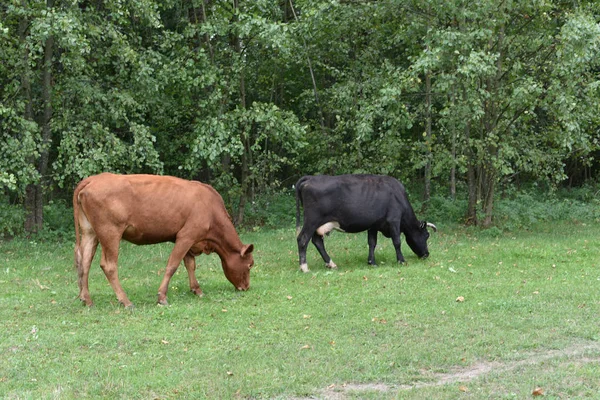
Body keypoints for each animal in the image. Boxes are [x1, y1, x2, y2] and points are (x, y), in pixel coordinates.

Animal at [73, 173, 255, 308]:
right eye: (250, 265)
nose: (246, 287)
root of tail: (93, 179)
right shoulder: (187, 235)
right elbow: (172, 265)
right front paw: (162, 297)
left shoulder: (187, 240)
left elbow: (190, 264)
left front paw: (196, 289)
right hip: (110, 232)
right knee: (108, 266)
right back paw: (126, 301)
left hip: (90, 232)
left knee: (84, 262)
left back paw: (86, 299)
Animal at [296, 175, 436, 272]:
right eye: (426, 235)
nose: (427, 254)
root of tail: (310, 178)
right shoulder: (394, 220)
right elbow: (397, 241)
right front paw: (401, 261)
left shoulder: (373, 225)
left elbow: (372, 243)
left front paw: (372, 262)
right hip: (311, 220)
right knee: (302, 239)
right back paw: (304, 267)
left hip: (318, 224)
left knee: (317, 241)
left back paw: (331, 264)